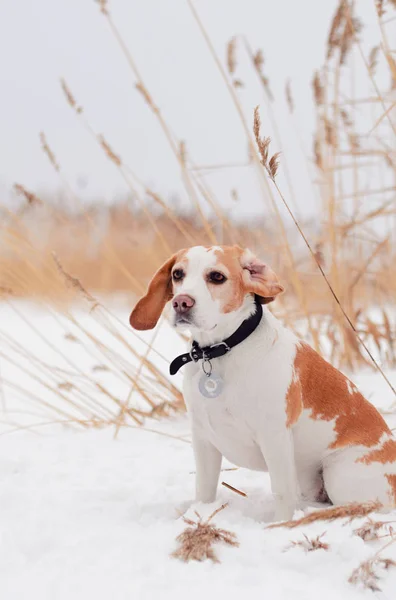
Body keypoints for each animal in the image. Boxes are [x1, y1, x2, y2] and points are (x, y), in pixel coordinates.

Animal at [130, 246, 396, 524]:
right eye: (177, 274)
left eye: (216, 277)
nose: (181, 302)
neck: (220, 352)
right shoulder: (203, 437)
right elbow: (204, 488)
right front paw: (198, 513)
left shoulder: (274, 437)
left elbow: (281, 491)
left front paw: (281, 524)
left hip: (340, 474)